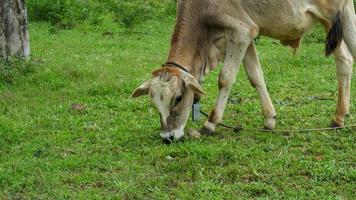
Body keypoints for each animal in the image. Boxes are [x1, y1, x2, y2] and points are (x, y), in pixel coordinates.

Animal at [132, 0, 354, 144]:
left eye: (178, 98)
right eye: (154, 103)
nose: (167, 138)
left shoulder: (240, 33)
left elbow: (225, 78)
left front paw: (210, 124)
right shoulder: (247, 36)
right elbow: (256, 76)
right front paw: (270, 120)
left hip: (334, 16)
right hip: (339, 18)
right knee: (346, 60)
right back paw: (339, 118)